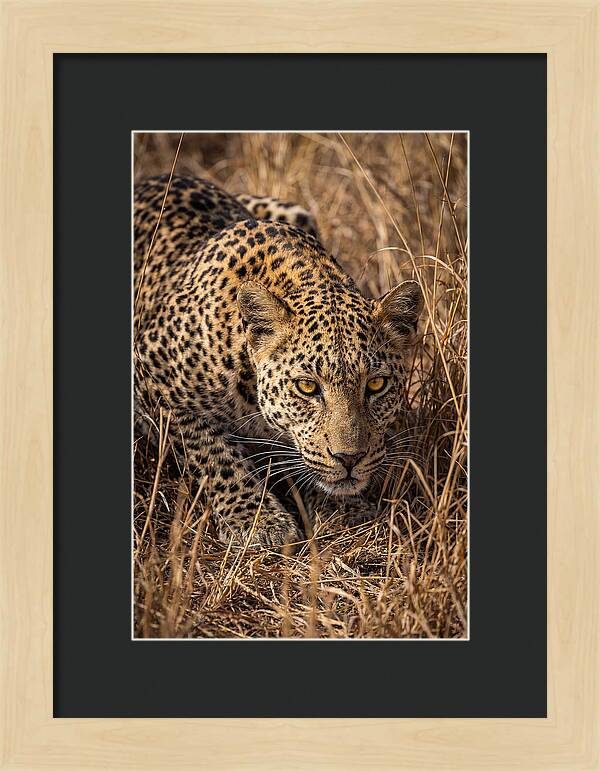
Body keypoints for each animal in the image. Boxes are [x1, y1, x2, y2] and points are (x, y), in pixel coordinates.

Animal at [134, 174, 423, 548]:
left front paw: (343, 510)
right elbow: (213, 452)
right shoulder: (150, 376)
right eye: (307, 387)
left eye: (376, 384)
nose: (349, 459)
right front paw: (257, 520)